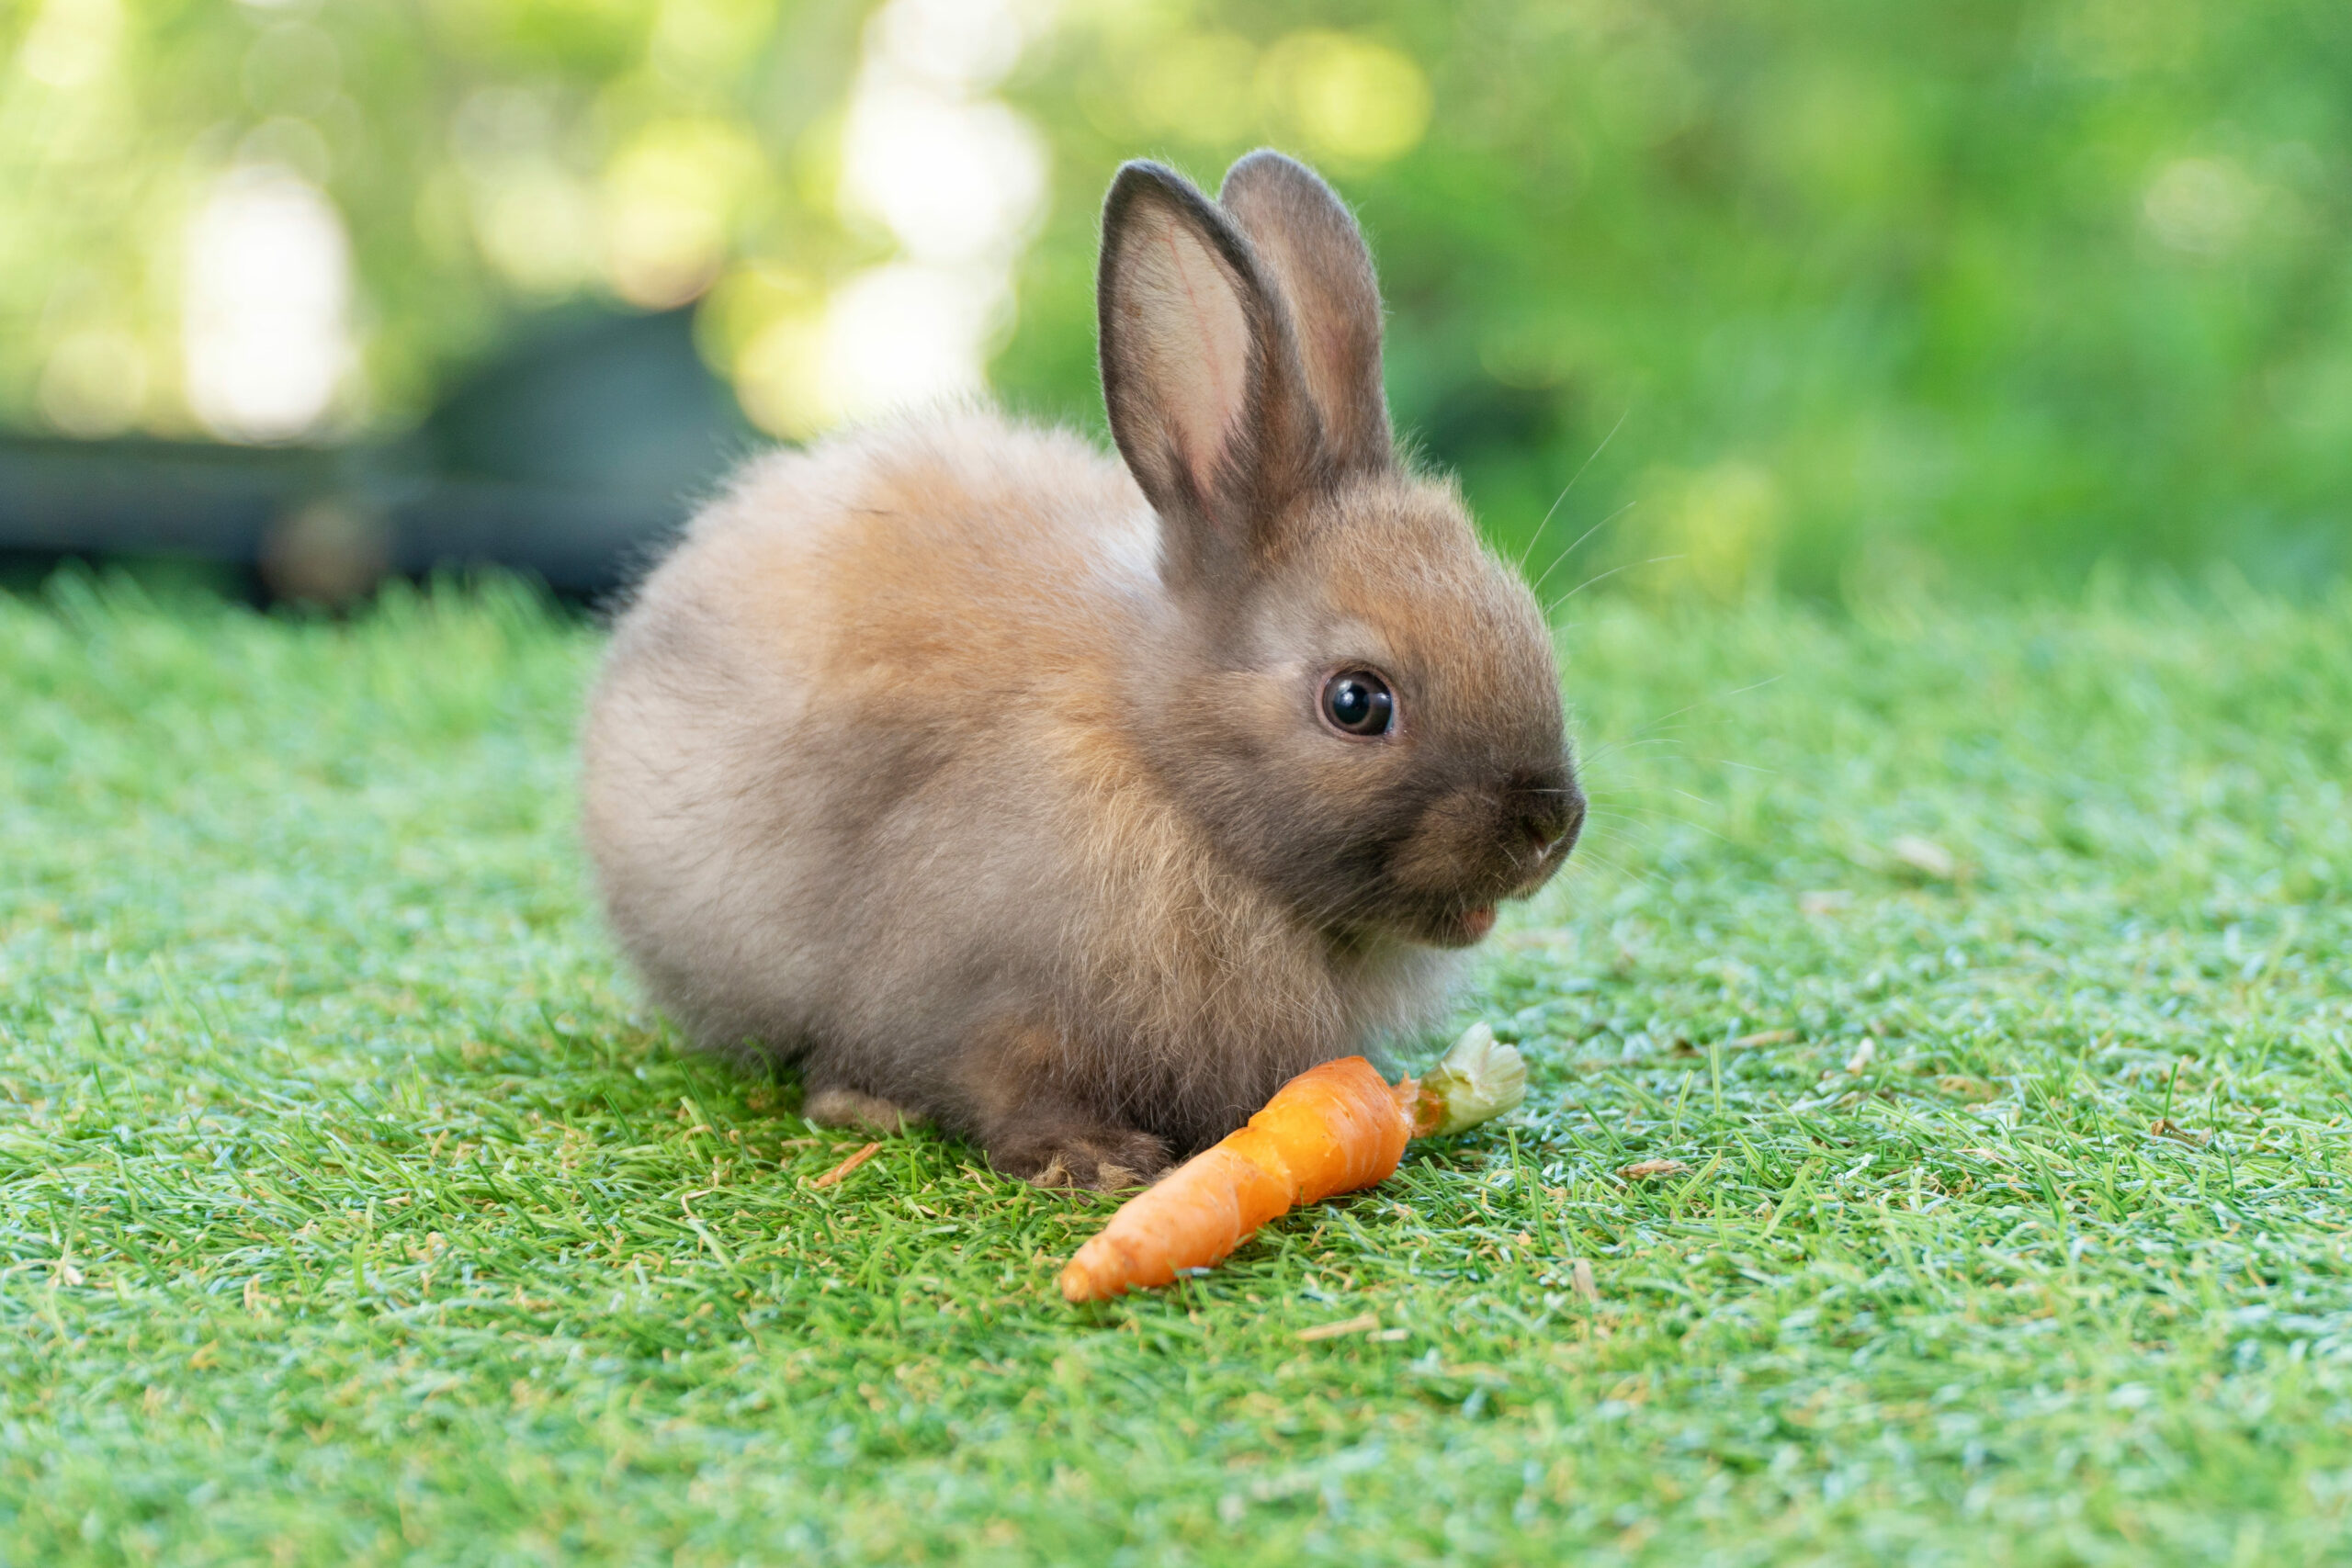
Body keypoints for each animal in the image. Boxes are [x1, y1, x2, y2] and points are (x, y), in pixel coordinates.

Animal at [578, 156, 1589, 1189]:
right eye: (1357, 702)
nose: (1550, 827)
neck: (1162, 766)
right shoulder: (984, 998)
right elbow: (1004, 1080)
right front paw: (1096, 1161)